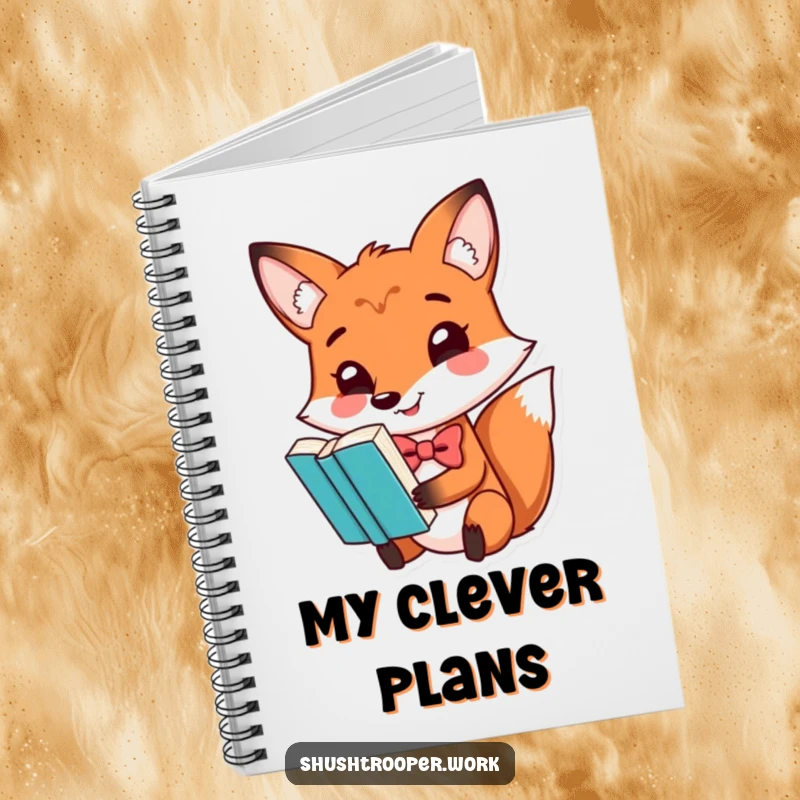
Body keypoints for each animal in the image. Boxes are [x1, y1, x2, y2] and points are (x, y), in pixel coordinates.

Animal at [249, 179, 555, 570]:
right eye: (349, 377)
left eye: (447, 340)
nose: (386, 399)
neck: (422, 441)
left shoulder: (466, 448)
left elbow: (467, 474)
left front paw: (423, 493)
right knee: (401, 543)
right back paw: (391, 552)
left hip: (492, 505)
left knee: (486, 520)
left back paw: (474, 543)